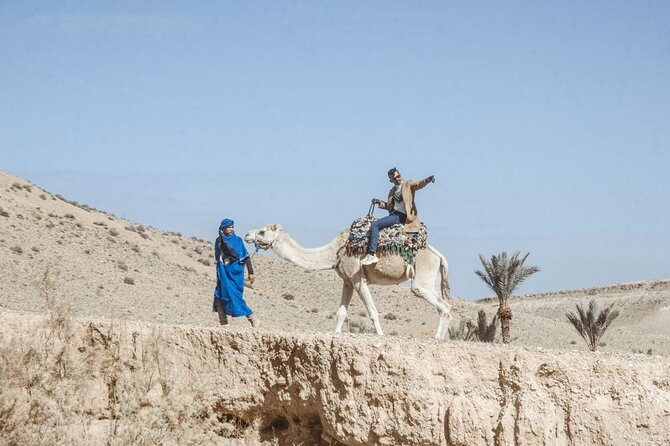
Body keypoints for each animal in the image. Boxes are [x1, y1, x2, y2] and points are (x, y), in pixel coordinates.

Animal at [244, 224, 453, 339]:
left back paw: (436, 338)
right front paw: (336, 334)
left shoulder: (357, 277)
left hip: (422, 276)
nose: (247, 235)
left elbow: (373, 312)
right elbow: (341, 313)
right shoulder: (347, 281)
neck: (334, 251)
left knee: (442, 305)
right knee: (444, 306)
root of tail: (438, 255)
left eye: (262, 232)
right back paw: (441, 338)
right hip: (432, 276)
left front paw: (381, 335)